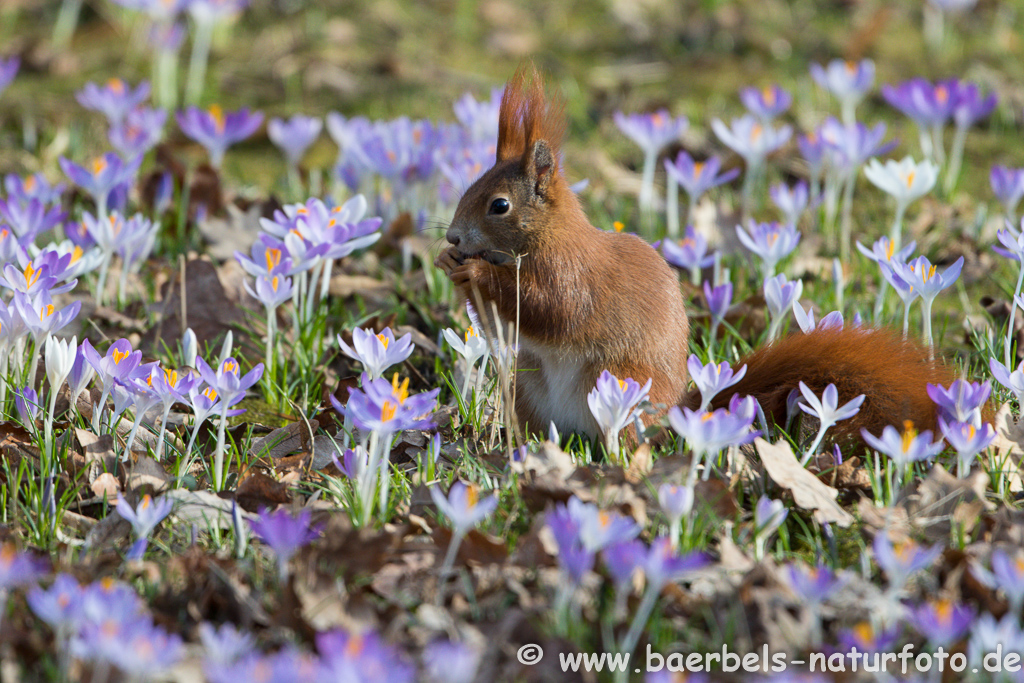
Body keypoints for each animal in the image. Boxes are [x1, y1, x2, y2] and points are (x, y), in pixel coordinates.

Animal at [436, 68, 954, 444]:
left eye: (499, 205)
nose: (455, 238)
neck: (545, 237)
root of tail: (673, 416)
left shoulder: (571, 274)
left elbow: (548, 307)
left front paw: (476, 271)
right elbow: (504, 326)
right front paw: (450, 267)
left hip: (619, 383)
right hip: (529, 387)